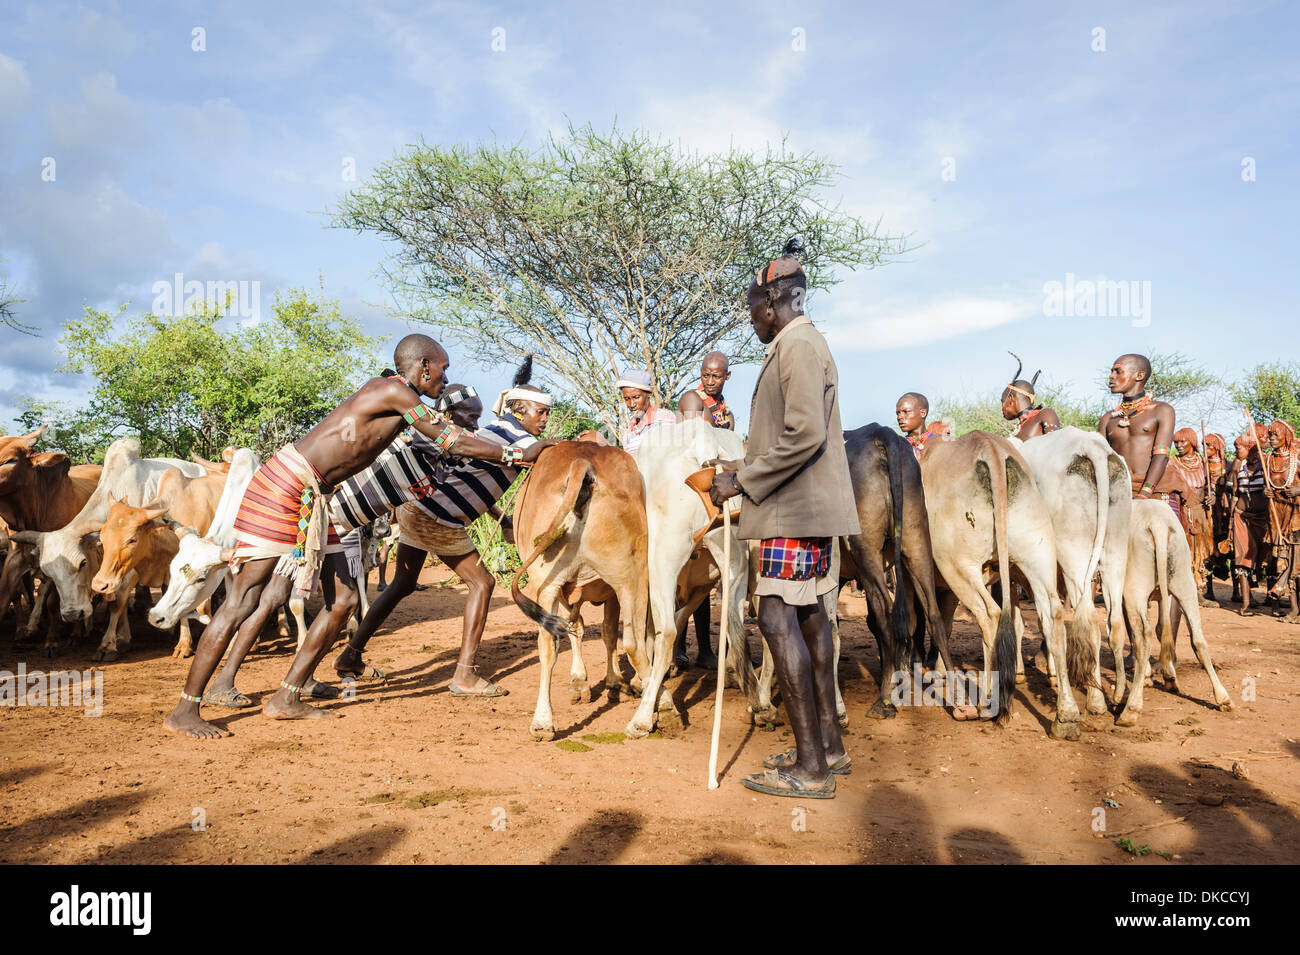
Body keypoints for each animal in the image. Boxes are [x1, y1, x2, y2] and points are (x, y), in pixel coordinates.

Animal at [506, 444, 650, 743]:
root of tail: (583, 461)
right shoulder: (605, 592)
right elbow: (597, 631)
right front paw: (602, 681)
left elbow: (587, 630)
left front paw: (589, 682)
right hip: (632, 576)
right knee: (634, 642)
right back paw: (654, 705)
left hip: (545, 583)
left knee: (548, 645)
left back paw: (542, 723)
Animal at [631, 420, 774, 738]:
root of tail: (703, 441)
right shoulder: (706, 579)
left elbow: (656, 627)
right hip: (735, 561)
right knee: (738, 625)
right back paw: (761, 705)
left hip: (662, 559)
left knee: (668, 629)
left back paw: (643, 718)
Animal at [1013, 428, 1128, 712]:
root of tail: (1092, 445)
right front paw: (1053, 672)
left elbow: (1018, 621)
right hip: (1115, 551)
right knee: (1114, 621)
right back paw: (1118, 696)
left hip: (1073, 553)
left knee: (1088, 620)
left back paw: (1095, 700)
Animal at [1112, 501, 1232, 722]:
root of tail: (1157, 522)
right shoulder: (1163, 594)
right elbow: (1162, 628)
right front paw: (1167, 676)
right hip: (1184, 581)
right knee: (1197, 638)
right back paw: (1223, 698)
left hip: (1134, 589)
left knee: (1143, 636)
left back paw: (1131, 708)